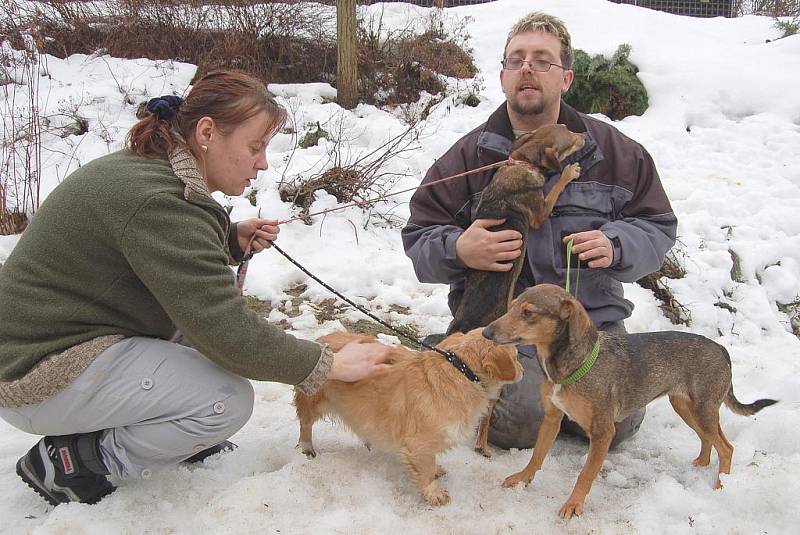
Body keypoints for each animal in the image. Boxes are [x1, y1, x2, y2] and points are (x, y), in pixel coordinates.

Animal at [294, 328, 524, 508]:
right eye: (516, 356)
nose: (522, 370)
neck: (461, 371)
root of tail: (323, 339)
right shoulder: (419, 444)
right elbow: (427, 470)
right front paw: (434, 493)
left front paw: (437, 471)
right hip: (313, 402)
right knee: (305, 425)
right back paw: (307, 448)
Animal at [482, 284, 776, 520]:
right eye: (511, 306)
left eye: (528, 313)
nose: (486, 332)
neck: (572, 364)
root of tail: (722, 350)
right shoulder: (552, 418)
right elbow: (537, 455)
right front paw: (523, 478)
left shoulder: (603, 432)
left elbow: (585, 474)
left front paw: (574, 505)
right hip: (685, 406)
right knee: (708, 439)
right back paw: (702, 465)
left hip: (702, 409)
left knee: (726, 447)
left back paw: (720, 487)